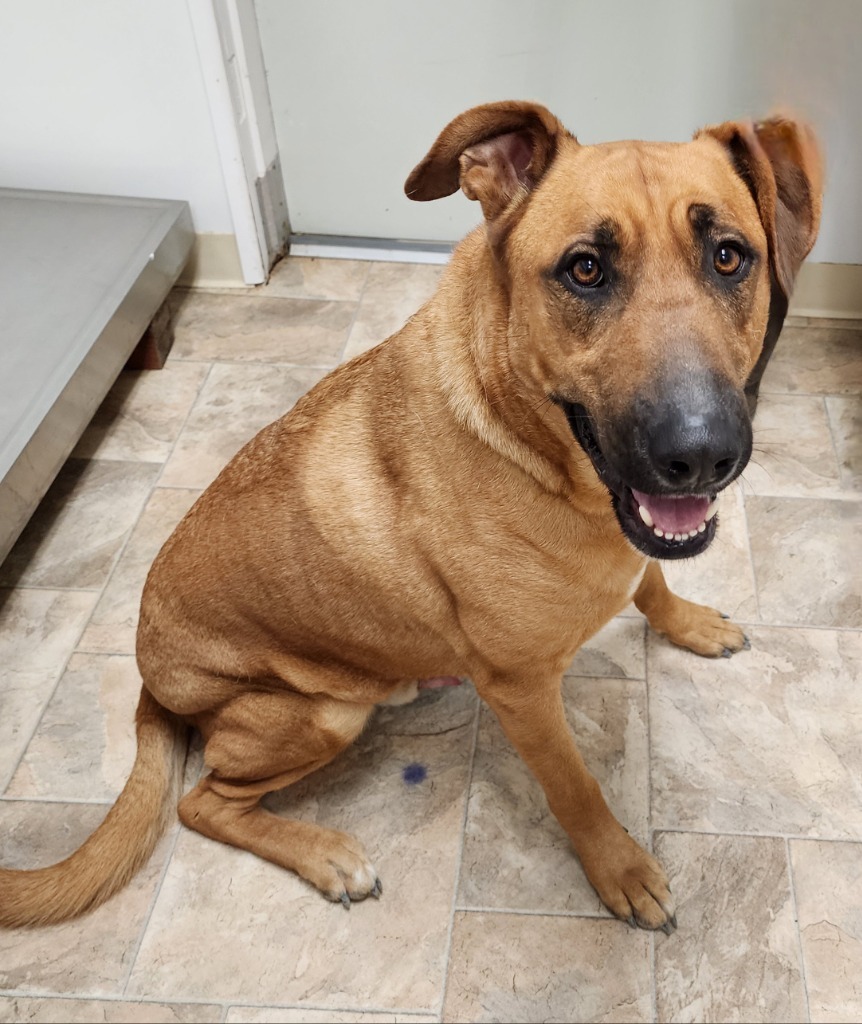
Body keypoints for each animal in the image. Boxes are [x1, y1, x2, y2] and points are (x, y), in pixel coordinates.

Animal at [1, 101, 819, 929]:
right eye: (585, 268)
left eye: (729, 257)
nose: (703, 454)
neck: (530, 446)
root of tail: (150, 682)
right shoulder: (522, 691)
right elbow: (575, 786)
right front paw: (618, 867)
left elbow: (650, 580)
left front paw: (688, 621)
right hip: (320, 714)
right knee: (202, 804)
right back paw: (326, 856)